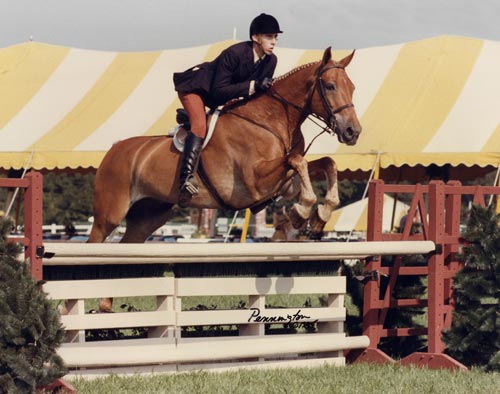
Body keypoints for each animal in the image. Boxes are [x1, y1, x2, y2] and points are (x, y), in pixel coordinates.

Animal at [87, 47, 360, 310]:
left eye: (352, 87)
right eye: (330, 86)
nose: (353, 132)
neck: (271, 120)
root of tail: (115, 149)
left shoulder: (284, 182)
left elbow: (326, 163)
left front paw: (320, 216)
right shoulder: (254, 182)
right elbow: (298, 162)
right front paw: (301, 213)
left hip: (150, 216)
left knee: (125, 247)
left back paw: (106, 304)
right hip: (109, 214)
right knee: (95, 243)